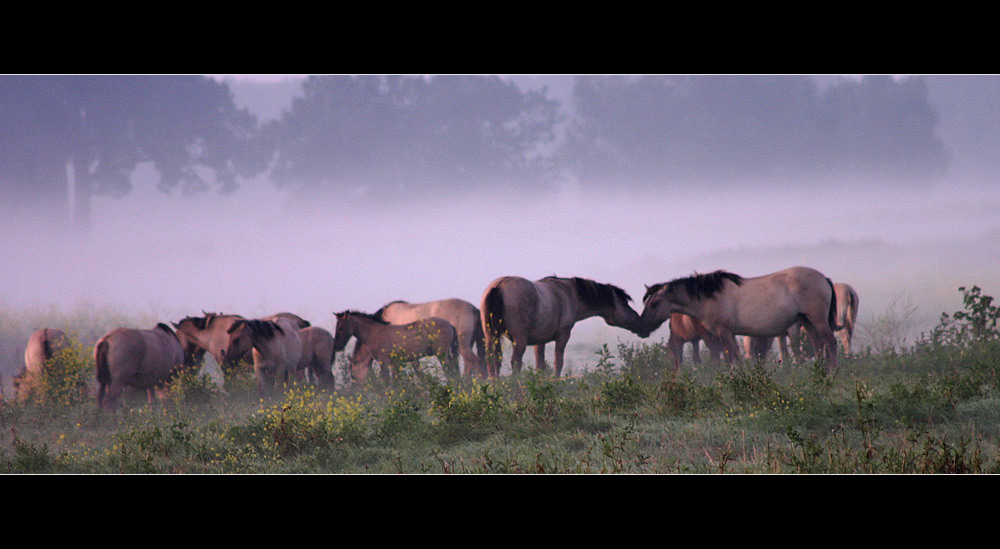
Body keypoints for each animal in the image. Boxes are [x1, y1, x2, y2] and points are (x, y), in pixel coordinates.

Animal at [480, 274, 644, 376]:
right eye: (624, 302)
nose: (639, 320)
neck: (568, 293)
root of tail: (499, 286)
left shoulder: (539, 341)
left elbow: (540, 365)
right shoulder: (563, 336)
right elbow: (558, 363)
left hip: (491, 336)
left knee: (492, 359)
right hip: (519, 340)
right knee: (515, 362)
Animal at [636, 266, 840, 370]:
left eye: (654, 304)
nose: (642, 328)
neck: (710, 296)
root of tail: (823, 277)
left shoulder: (723, 332)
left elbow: (733, 356)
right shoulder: (726, 334)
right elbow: (730, 357)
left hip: (818, 320)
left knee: (830, 343)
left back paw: (832, 374)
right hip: (807, 321)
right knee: (818, 345)